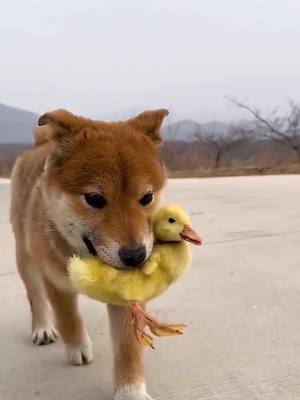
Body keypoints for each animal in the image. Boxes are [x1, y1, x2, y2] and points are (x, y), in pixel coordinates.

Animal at [9, 108, 169, 398]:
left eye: (147, 198)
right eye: (94, 199)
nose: (135, 255)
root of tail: (39, 145)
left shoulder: (129, 298)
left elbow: (128, 347)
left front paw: (131, 390)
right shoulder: (56, 283)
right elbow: (68, 318)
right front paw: (77, 348)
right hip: (25, 256)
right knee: (35, 297)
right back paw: (42, 328)